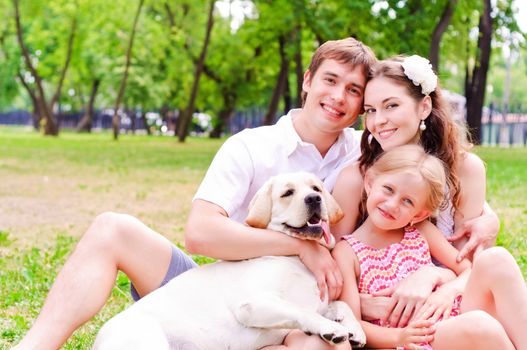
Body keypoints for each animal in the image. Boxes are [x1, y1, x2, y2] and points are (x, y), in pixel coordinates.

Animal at [93, 172, 366, 350]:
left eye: (316, 188)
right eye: (288, 193)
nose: (314, 199)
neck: (295, 259)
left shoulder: (321, 301)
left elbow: (342, 304)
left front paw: (355, 330)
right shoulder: (253, 303)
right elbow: (300, 309)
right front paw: (331, 328)